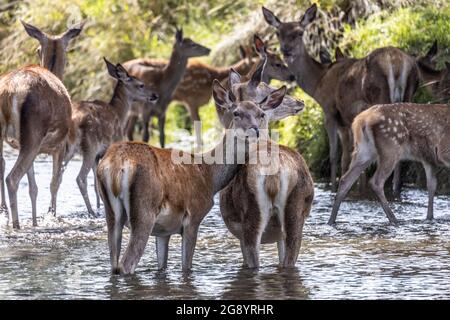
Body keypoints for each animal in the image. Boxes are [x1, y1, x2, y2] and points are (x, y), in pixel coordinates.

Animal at [0, 20, 84, 229]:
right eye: (68, 50)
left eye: (38, 49)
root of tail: (9, 92)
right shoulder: (60, 145)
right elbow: (55, 182)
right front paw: (51, 215)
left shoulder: (22, 144)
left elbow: (33, 187)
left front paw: (36, 221)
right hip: (34, 132)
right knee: (12, 178)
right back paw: (16, 224)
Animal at [63, 58, 158, 216]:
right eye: (141, 84)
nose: (155, 95)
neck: (119, 113)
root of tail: (73, 121)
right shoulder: (116, 144)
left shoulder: (98, 155)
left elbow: (96, 181)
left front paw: (100, 204)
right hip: (89, 146)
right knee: (80, 178)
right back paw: (91, 212)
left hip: (68, 148)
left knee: (57, 176)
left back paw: (53, 210)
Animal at [97, 78, 288, 276]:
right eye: (236, 112)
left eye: (261, 114)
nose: (255, 130)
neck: (209, 177)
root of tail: (115, 166)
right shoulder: (194, 215)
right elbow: (186, 267)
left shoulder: (163, 231)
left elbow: (162, 266)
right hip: (144, 210)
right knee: (126, 264)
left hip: (111, 214)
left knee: (114, 264)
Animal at [262, 3, 420, 192]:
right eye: (278, 33)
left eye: (300, 33)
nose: (286, 50)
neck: (319, 82)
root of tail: (396, 62)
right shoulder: (346, 121)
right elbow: (349, 155)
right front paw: (354, 187)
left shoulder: (330, 110)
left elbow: (335, 154)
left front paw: (333, 188)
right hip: (408, 94)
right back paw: (396, 188)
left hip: (379, 97)